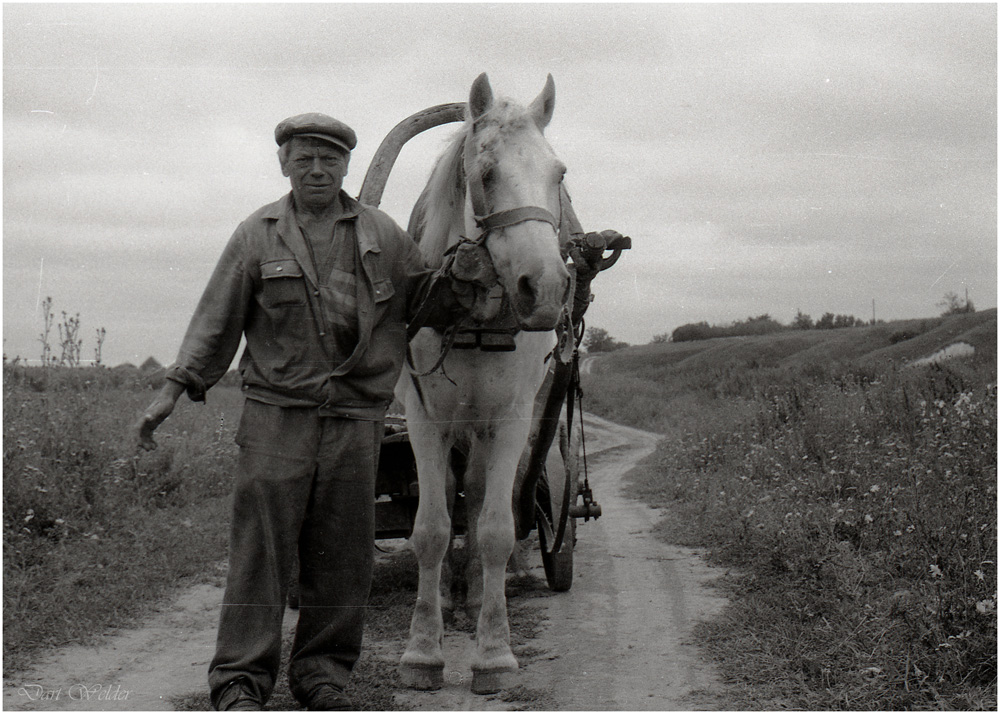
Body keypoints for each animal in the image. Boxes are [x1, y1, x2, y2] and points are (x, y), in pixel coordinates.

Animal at [396, 75, 572, 692]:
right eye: (487, 173)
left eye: (558, 174)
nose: (546, 289)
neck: (468, 312)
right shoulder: (425, 417)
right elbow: (430, 528)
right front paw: (423, 650)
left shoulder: (512, 417)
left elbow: (496, 527)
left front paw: (493, 650)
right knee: (455, 493)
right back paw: (453, 595)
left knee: (474, 496)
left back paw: (473, 593)